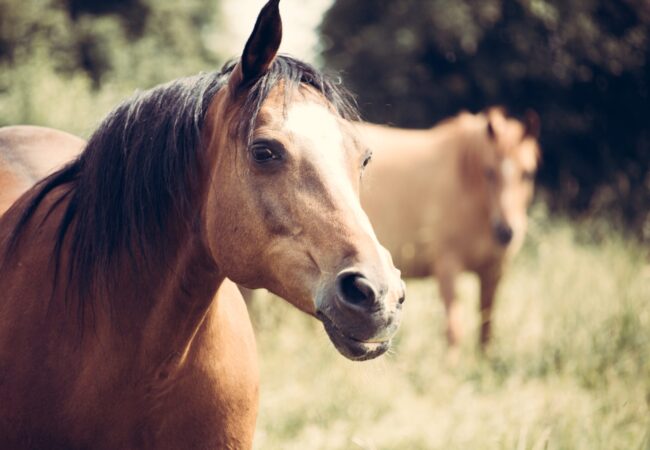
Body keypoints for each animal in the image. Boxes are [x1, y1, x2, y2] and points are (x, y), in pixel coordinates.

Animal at [356, 108, 540, 348]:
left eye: (528, 174)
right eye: (489, 172)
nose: (505, 232)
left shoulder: (494, 270)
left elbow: (487, 329)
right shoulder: (447, 267)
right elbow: (454, 331)